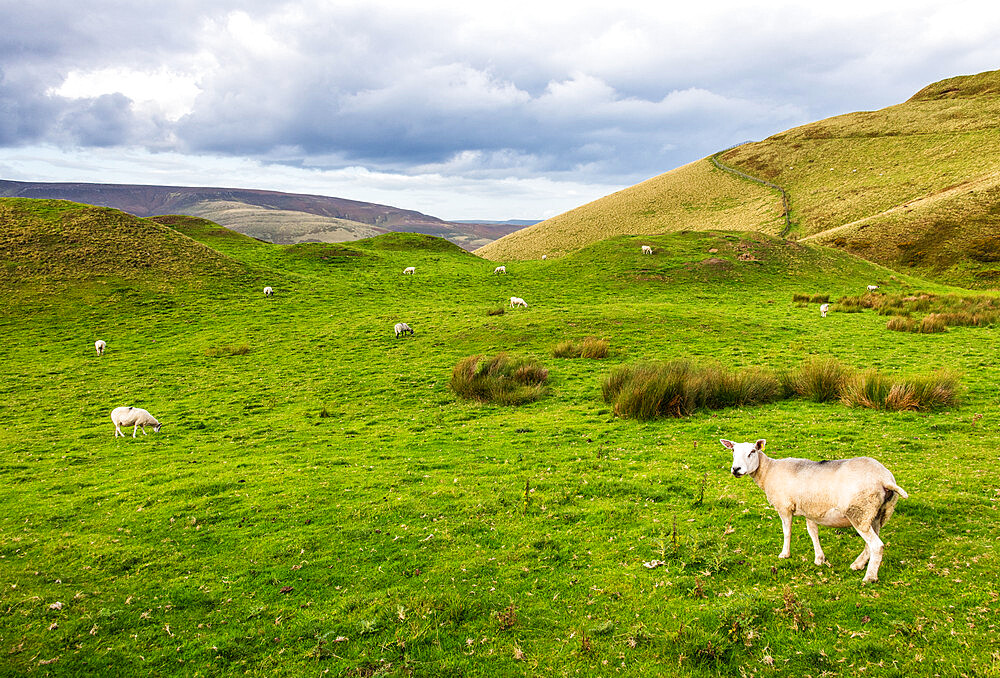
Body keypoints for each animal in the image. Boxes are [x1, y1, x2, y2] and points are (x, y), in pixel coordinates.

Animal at [724, 440, 912, 584]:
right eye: (733, 451)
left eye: (752, 451)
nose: (736, 469)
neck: (768, 471)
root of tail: (885, 479)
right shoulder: (811, 510)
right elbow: (812, 532)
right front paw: (819, 559)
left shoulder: (784, 506)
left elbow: (787, 531)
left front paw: (785, 554)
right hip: (878, 513)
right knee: (871, 543)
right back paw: (858, 565)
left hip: (859, 512)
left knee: (877, 545)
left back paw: (869, 577)